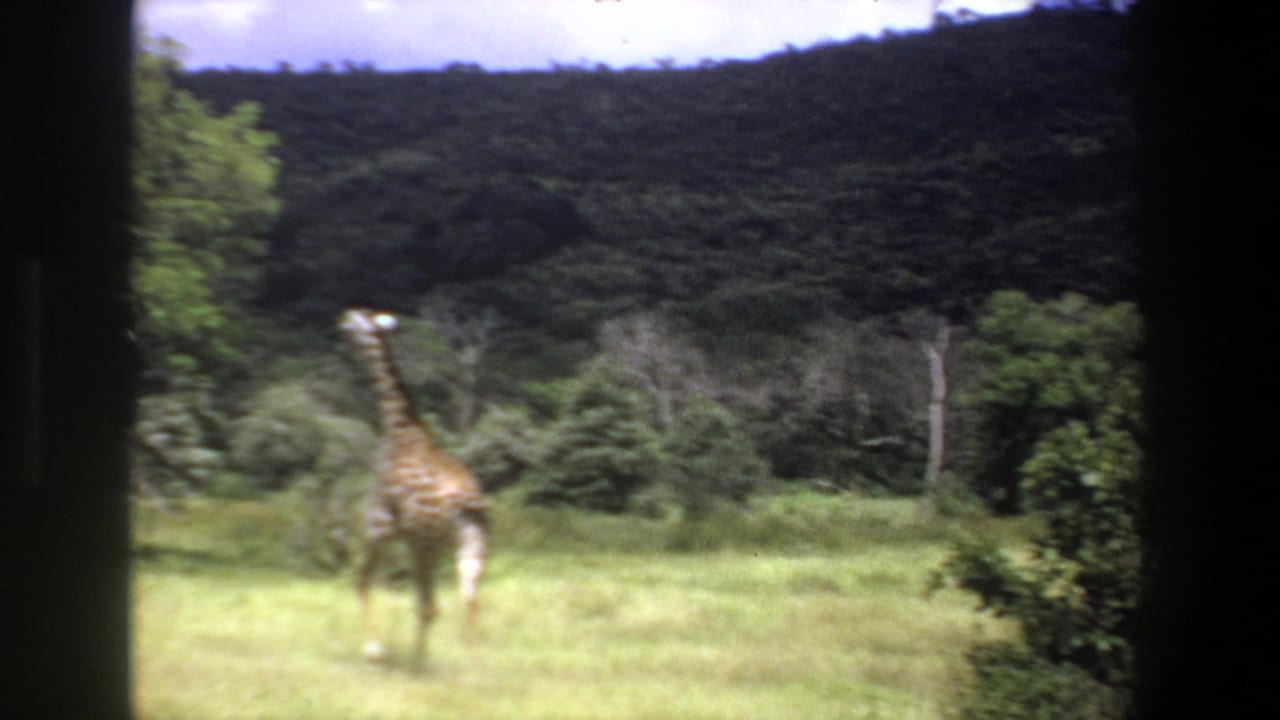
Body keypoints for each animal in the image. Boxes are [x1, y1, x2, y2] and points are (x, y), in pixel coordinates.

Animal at [338, 307, 489, 669]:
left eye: (361, 317)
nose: (343, 318)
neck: (400, 429)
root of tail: (467, 504)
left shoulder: (379, 525)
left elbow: (363, 581)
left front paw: (374, 651)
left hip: (424, 544)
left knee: (429, 603)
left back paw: (416, 662)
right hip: (470, 543)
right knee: (469, 598)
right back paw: (473, 663)